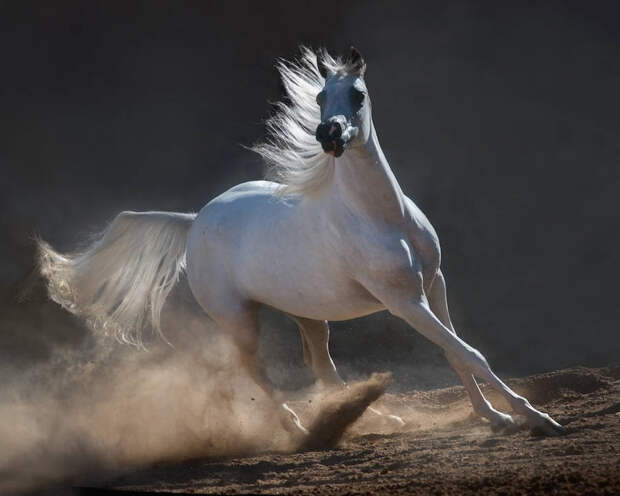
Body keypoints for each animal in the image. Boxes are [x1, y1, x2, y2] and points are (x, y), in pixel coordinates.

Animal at [36, 45, 564, 434]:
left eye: (358, 94)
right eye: (318, 98)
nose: (329, 135)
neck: (381, 217)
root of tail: (195, 220)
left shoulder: (434, 285)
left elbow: (456, 352)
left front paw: (493, 417)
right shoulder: (403, 302)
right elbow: (469, 352)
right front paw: (536, 418)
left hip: (308, 314)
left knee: (322, 368)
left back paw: (376, 417)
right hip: (239, 319)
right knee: (254, 371)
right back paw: (299, 428)